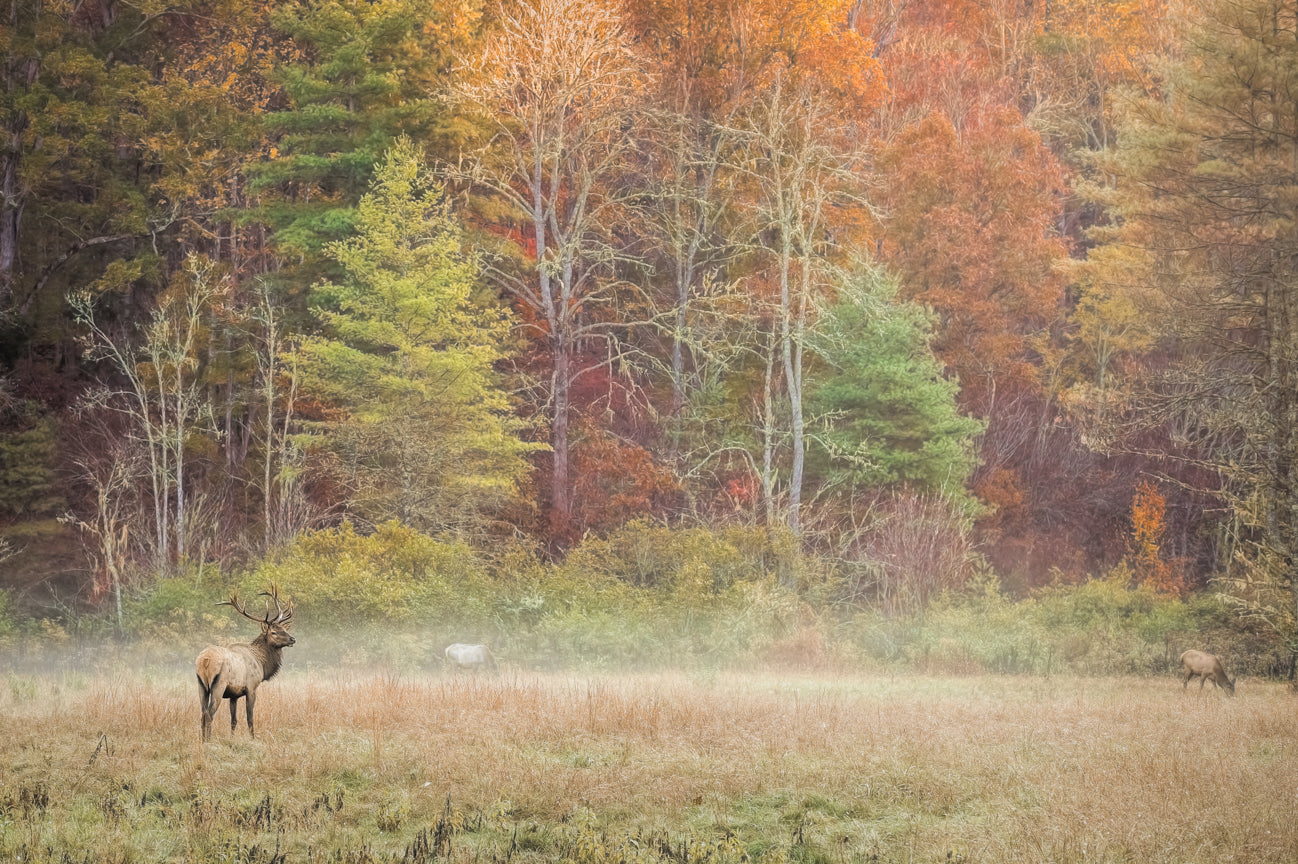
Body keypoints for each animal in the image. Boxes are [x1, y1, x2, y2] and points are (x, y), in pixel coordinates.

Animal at [195, 585, 296, 741]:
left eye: (284, 629)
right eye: (273, 632)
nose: (292, 639)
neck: (261, 662)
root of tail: (205, 660)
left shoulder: (234, 695)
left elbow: (233, 720)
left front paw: (232, 739)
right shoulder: (251, 687)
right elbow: (250, 718)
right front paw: (253, 738)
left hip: (201, 685)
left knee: (202, 714)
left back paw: (203, 741)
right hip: (218, 684)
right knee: (209, 714)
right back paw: (208, 741)